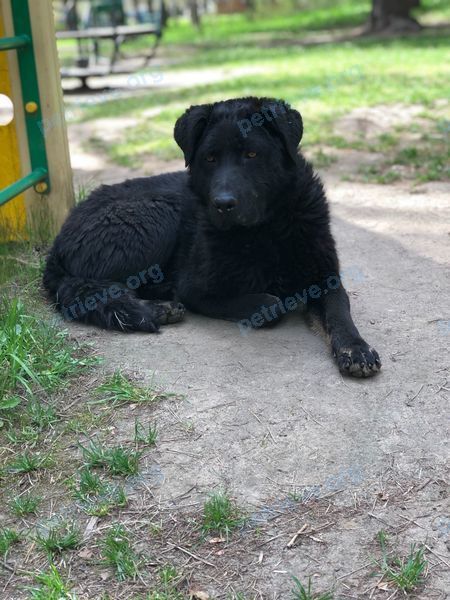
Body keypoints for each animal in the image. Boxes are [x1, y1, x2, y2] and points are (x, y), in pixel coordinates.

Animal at [42, 96, 382, 378]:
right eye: (210, 158)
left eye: (252, 154)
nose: (223, 204)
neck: (265, 230)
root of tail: (59, 239)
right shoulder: (194, 289)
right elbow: (268, 304)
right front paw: (271, 302)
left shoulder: (325, 279)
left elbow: (339, 312)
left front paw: (356, 348)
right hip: (158, 214)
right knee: (96, 289)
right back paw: (155, 309)